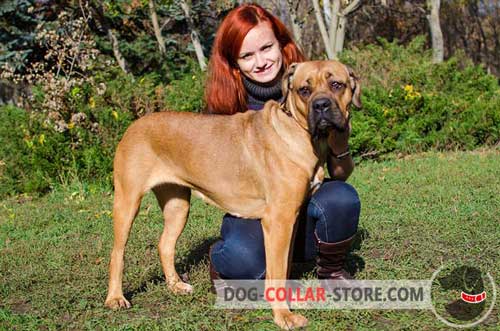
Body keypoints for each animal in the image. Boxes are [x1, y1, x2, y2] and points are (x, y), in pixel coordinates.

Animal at [104, 61, 360, 330]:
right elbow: (277, 271)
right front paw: (284, 315)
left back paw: (175, 286)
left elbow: (285, 264)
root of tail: (134, 125)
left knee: (165, 244)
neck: (300, 133)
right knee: (117, 253)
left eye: (336, 85)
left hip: (178, 205)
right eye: (304, 90)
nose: (321, 106)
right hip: (127, 201)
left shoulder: (291, 217)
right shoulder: (278, 220)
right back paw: (115, 298)